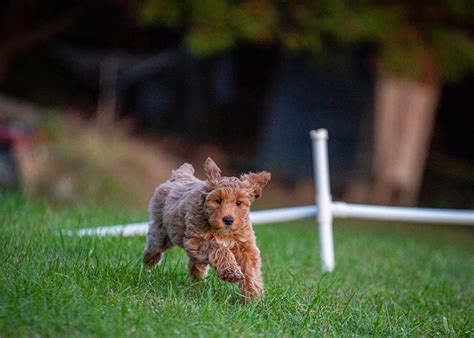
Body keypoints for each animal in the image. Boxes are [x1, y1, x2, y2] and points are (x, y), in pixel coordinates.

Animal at [143, 157, 270, 302]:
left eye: (239, 203)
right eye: (218, 200)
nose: (228, 220)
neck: (223, 233)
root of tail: (181, 175)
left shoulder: (246, 247)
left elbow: (250, 271)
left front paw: (253, 297)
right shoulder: (195, 241)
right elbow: (219, 248)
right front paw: (231, 271)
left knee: (196, 265)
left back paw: (196, 284)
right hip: (162, 232)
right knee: (154, 245)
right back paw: (148, 263)